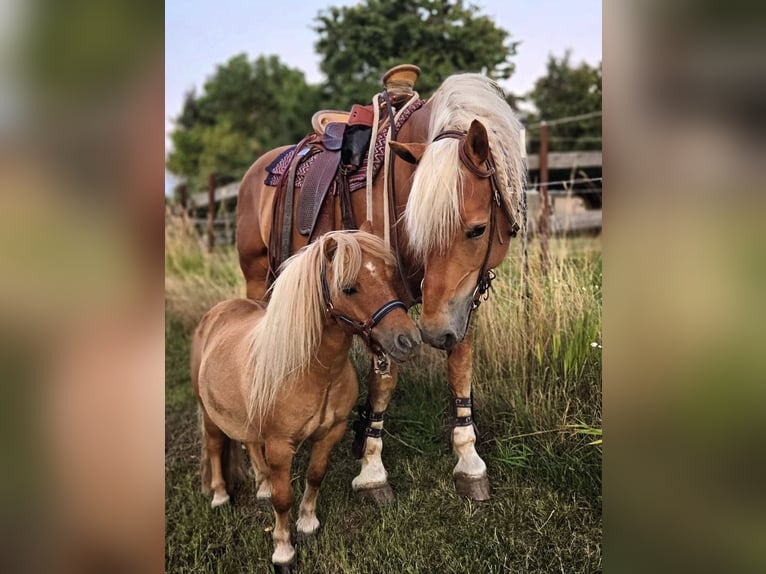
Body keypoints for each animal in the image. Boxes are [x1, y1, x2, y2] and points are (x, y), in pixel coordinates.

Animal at [191, 230, 421, 572]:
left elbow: (315, 476)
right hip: (210, 415)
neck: (312, 371)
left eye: (389, 277)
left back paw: (261, 486)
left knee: (250, 444)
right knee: (216, 446)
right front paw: (283, 550)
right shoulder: (280, 446)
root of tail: (216, 313)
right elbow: (283, 498)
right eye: (348, 287)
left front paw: (308, 523)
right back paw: (220, 495)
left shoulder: (330, 433)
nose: (408, 340)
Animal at [236, 72, 526, 502]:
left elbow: (460, 371)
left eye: (478, 229)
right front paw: (372, 472)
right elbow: (384, 384)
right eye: (417, 228)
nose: (434, 332)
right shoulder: (381, 307)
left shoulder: (458, 304)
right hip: (256, 277)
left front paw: (468, 462)